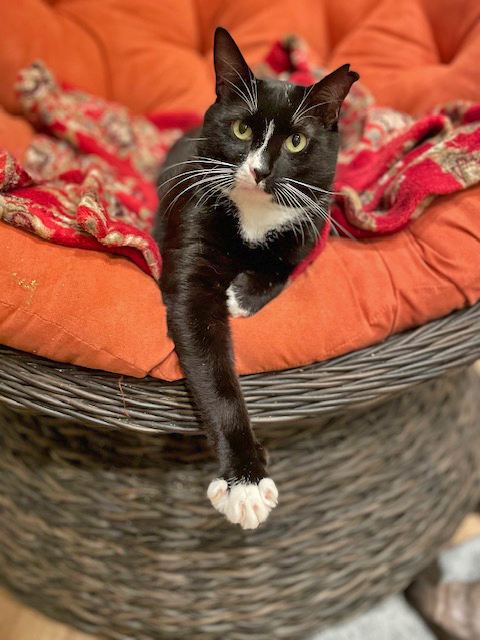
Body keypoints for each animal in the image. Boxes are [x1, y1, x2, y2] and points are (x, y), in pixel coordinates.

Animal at [156, 27, 358, 528]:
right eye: (242, 129)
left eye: (297, 143)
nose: (260, 170)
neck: (255, 214)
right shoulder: (192, 228)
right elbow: (211, 365)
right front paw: (244, 483)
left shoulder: (311, 224)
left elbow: (285, 263)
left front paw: (243, 295)